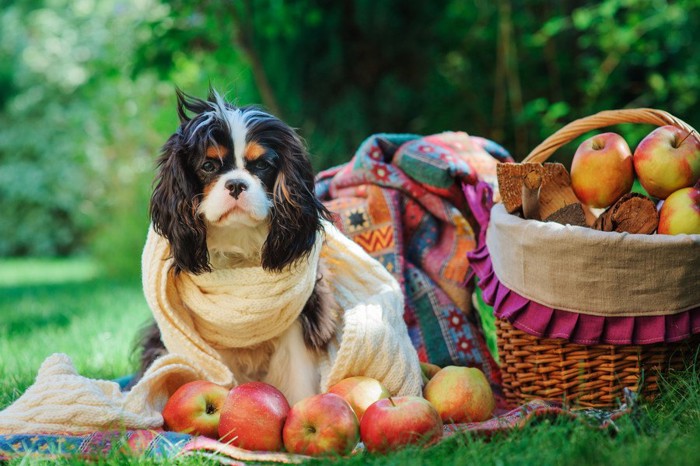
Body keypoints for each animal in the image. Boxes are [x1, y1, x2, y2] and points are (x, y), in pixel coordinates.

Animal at [135, 90, 342, 404]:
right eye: (208, 166)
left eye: (262, 165)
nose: (235, 184)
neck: (238, 244)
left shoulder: (299, 318)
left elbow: (297, 375)